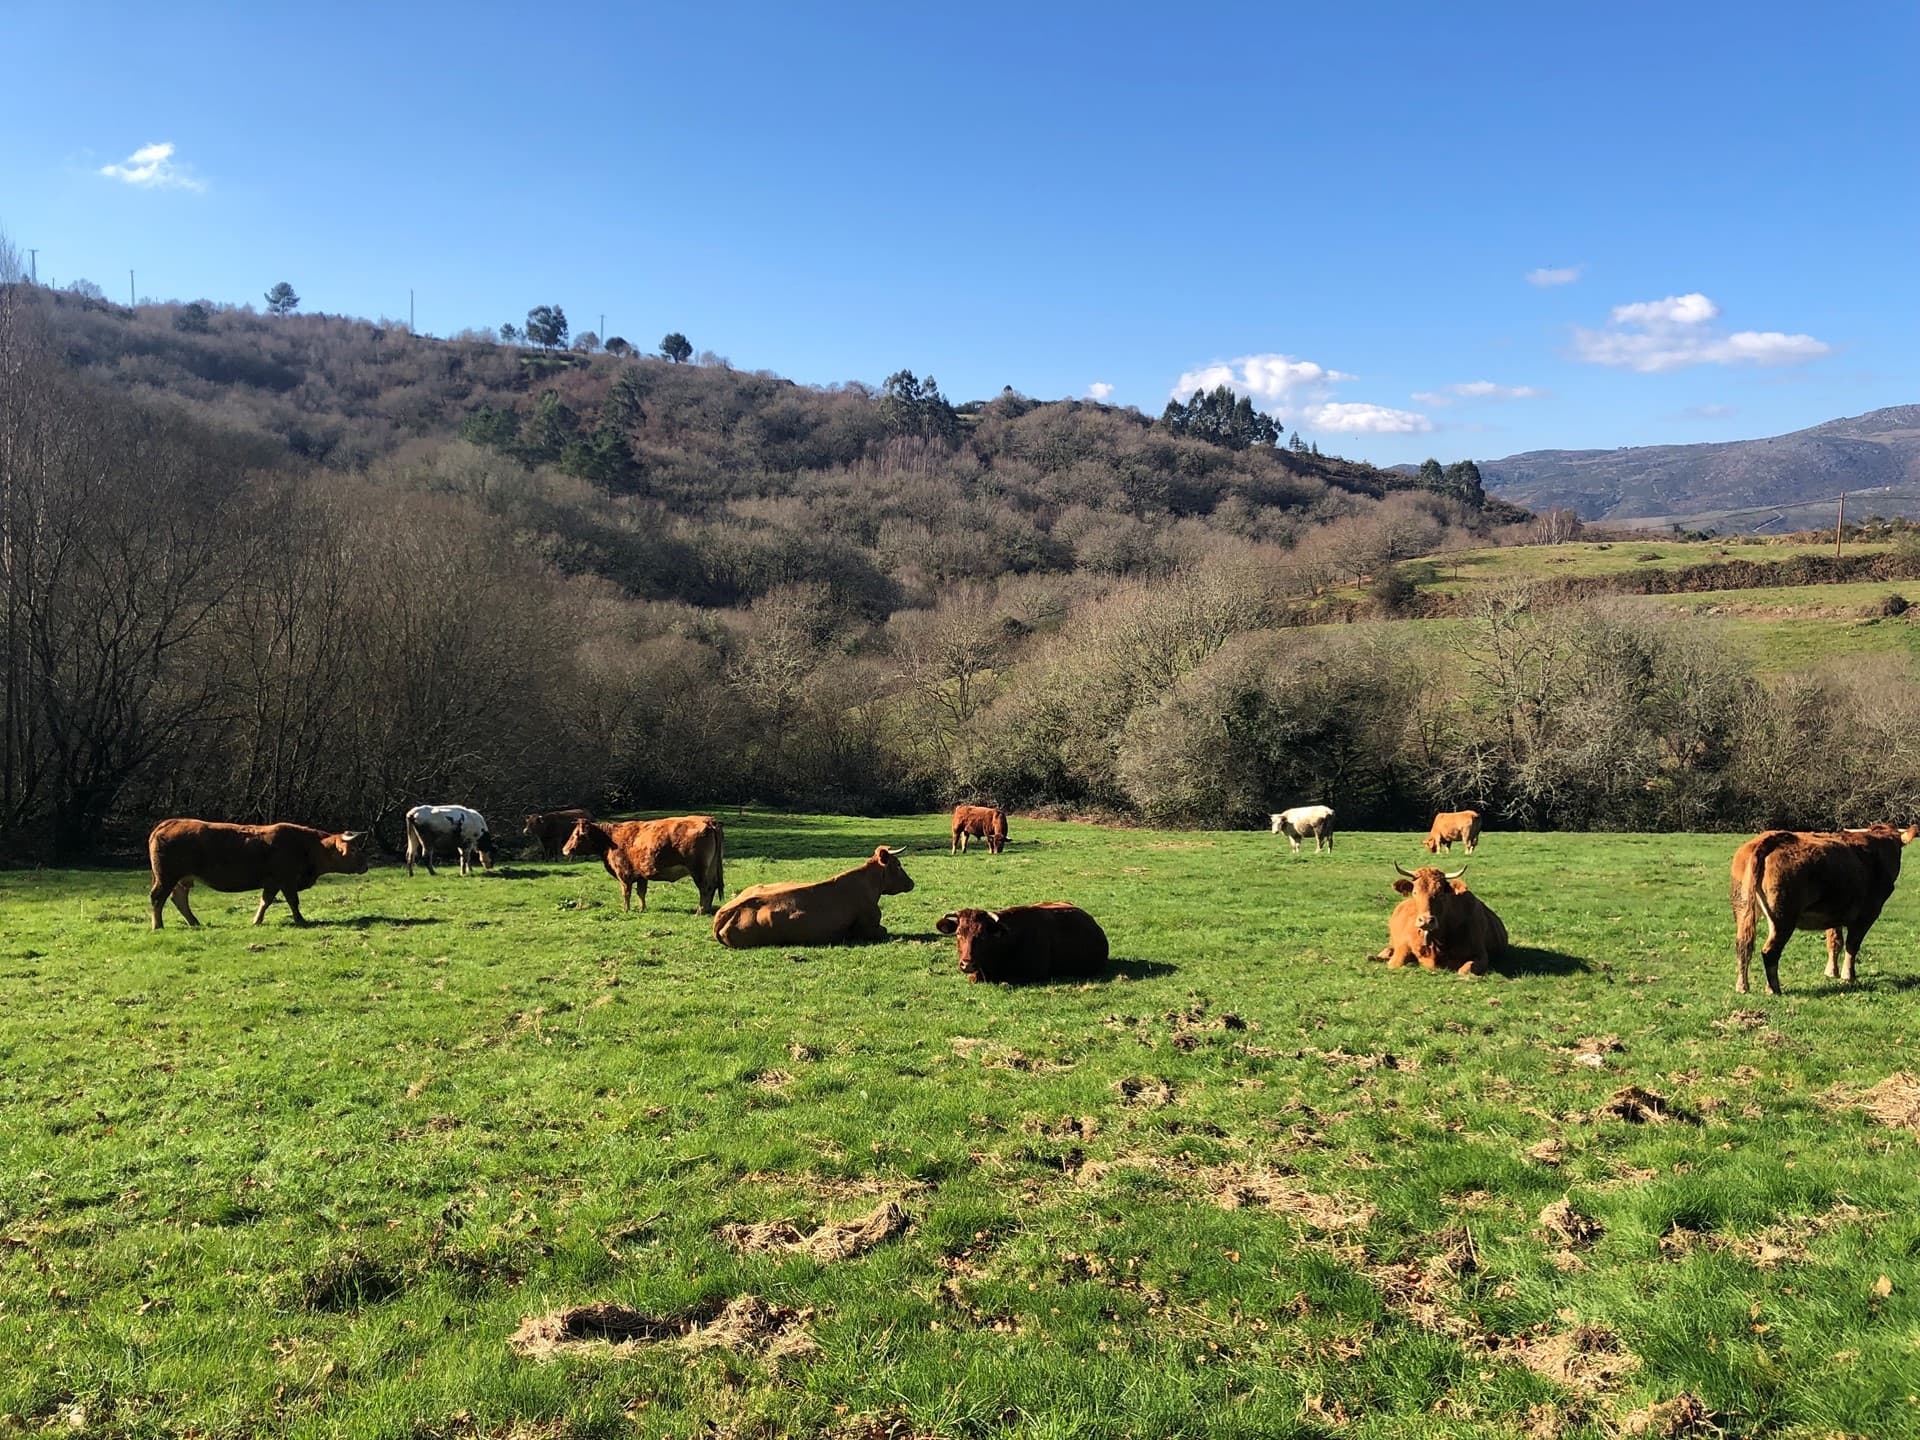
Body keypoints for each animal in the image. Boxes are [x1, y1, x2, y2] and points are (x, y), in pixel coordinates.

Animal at [147, 821, 368, 936]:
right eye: (354, 849)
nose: (365, 866)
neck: (307, 847)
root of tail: (168, 824)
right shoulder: (286, 880)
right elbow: (293, 902)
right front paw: (300, 920)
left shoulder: (273, 882)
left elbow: (265, 901)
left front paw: (256, 920)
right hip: (166, 877)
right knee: (158, 898)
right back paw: (158, 925)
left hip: (180, 878)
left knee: (178, 898)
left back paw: (193, 922)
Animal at [564, 817, 729, 917]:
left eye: (577, 835)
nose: (565, 849)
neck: (610, 839)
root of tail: (708, 820)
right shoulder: (641, 876)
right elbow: (641, 893)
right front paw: (642, 909)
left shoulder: (624, 875)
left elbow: (626, 893)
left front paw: (626, 910)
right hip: (711, 869)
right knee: (712, 887)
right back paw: (707, 910)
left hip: (699, 871)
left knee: (705, 889)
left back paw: (700, 911)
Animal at [1728, 821, 1920, 990]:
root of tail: (1769, 839)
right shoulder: (1866, 915)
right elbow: (1852, 945)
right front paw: (1848, 976)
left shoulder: (1833, 914)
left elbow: (1834, 941)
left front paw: (1831, 972)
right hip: (1783, 917)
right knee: (1770, 951)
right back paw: (1774, 989)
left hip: (1743, 909)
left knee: (1743, 945)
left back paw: (1742, 986)